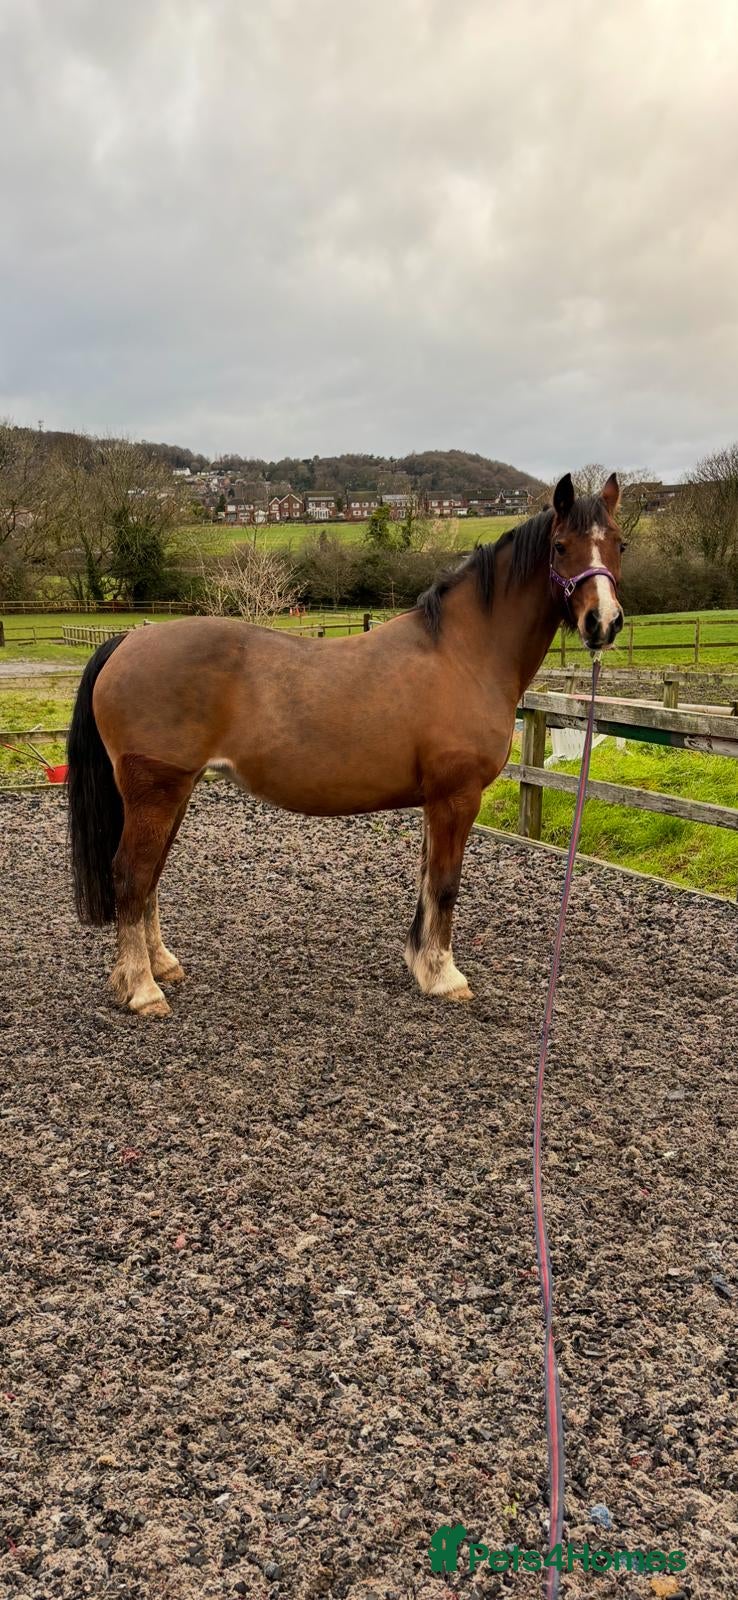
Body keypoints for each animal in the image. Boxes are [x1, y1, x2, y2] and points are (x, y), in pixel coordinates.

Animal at [67, 472, 625, 1017]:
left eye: (618, 543)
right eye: (560, 546)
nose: (604, 621)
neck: (462, 653)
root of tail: (129, 640)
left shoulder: (435, 801)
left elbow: (426, 881)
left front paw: (422, 964)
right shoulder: (458, 796)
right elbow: (445, 884)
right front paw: (445, 977)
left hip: (174, 793)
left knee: (150, 878)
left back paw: (162, 965)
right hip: (157, 792)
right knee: (131, 876)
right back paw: (143, 990)